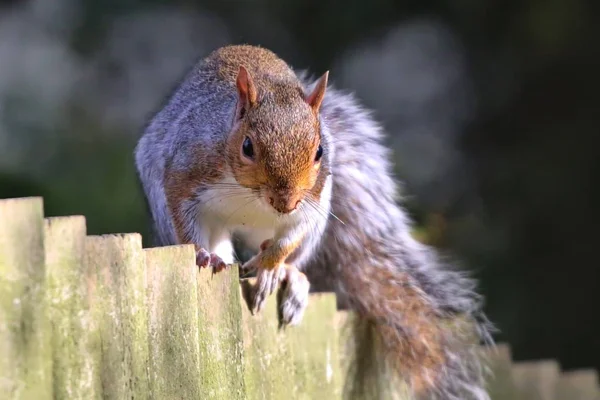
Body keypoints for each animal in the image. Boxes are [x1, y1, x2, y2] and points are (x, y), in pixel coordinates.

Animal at [135, 45, 492, 398]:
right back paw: (222, 257)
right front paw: (202, 253)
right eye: (247, 146)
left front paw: (269, 266)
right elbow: (184, 218)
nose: (286, 202)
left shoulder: (312, 205)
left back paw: (289, 277)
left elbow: (289, 238)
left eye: (320, 151)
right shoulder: (187, 171)